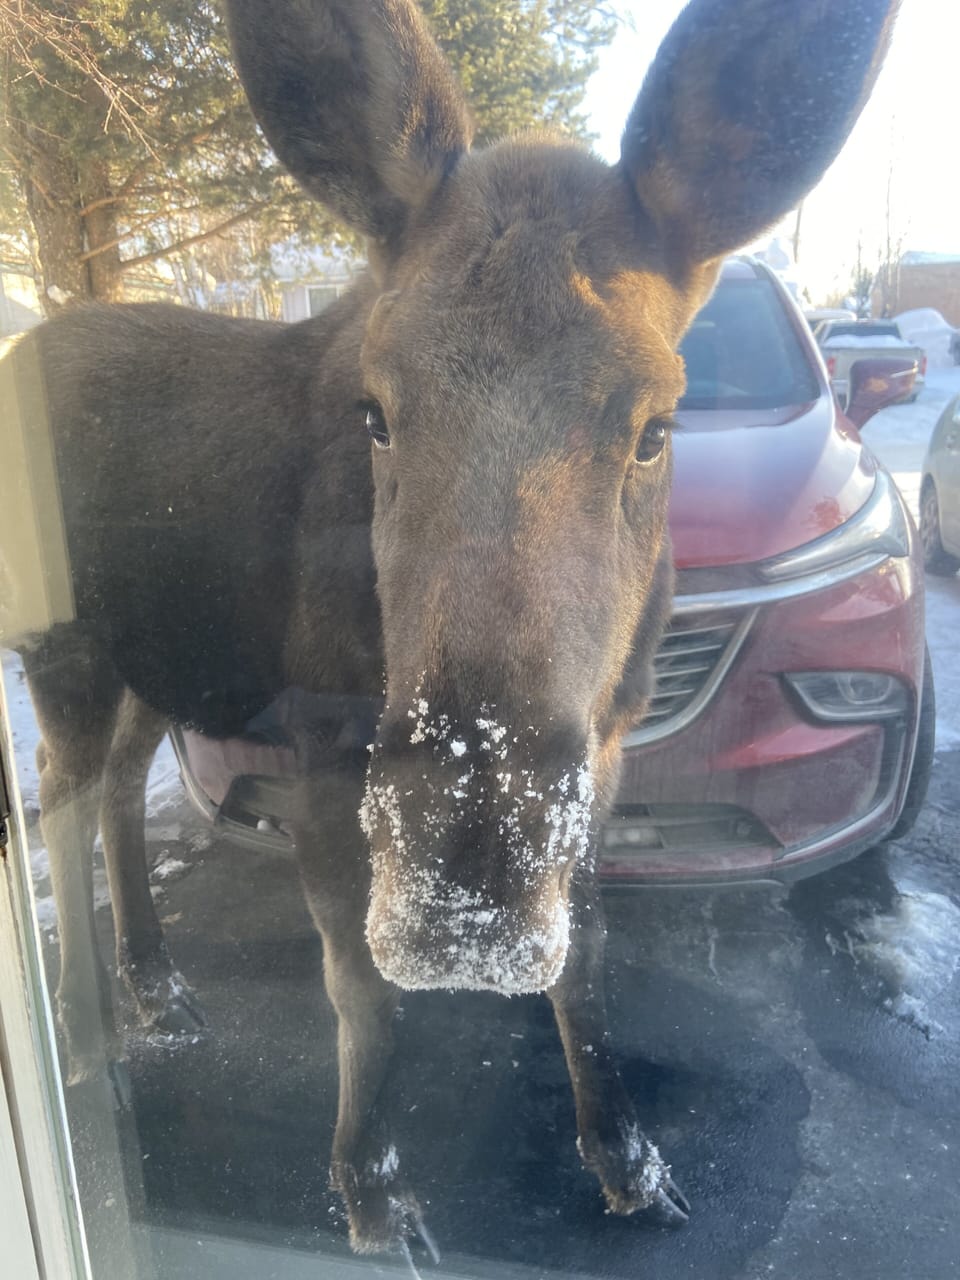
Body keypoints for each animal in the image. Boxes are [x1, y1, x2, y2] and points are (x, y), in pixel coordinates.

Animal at [2, 0, 898, 1258]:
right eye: (376, 411)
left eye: (656, 424)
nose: (465, 892)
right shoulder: (333, 749)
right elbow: (362, 987)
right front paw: (373, 1195)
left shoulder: (602, 751)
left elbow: (586, 957)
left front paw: (630, 1158)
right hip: (70, 642)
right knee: (63, 796)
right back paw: (89, 1036)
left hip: (162, 653)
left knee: (122, 783)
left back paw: (157, 987)